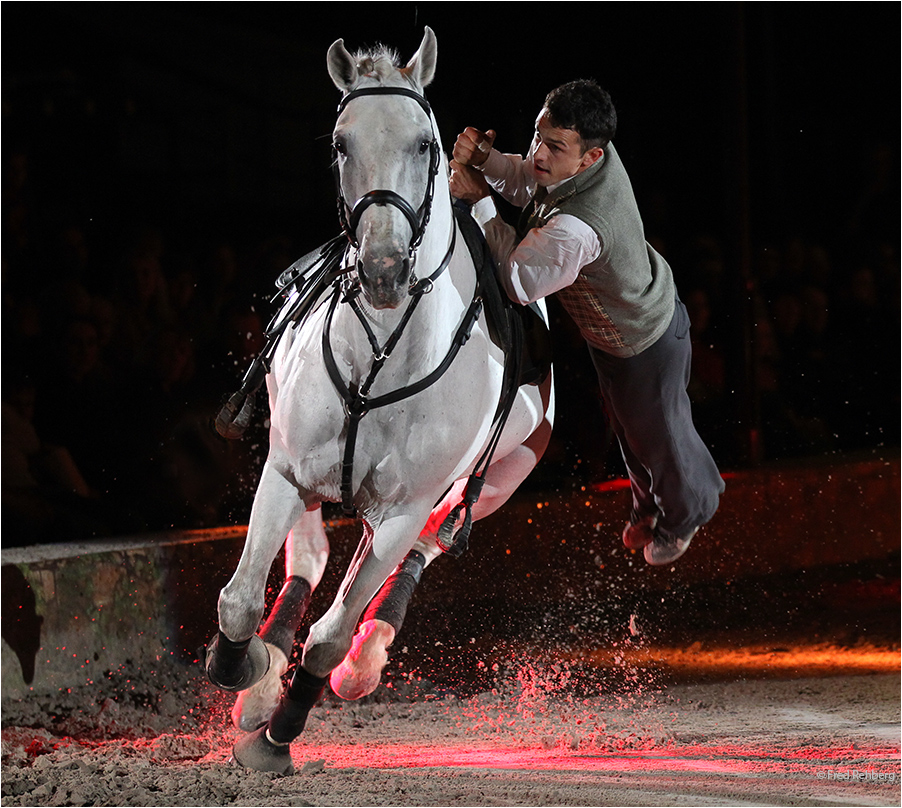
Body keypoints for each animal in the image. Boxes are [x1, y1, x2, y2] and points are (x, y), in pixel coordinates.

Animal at [207, 28, 556, 772]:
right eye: (342, 143)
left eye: (425, 143)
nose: (385, 269)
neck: (382, 355)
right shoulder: (287, 470)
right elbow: (241, 600)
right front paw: (247, 672)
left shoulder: (401, 509)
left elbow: (334, 633)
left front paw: (281, 731)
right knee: (307, 557)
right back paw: (261, 678)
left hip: (498, 480)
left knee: (426, 547)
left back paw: (362, 662)